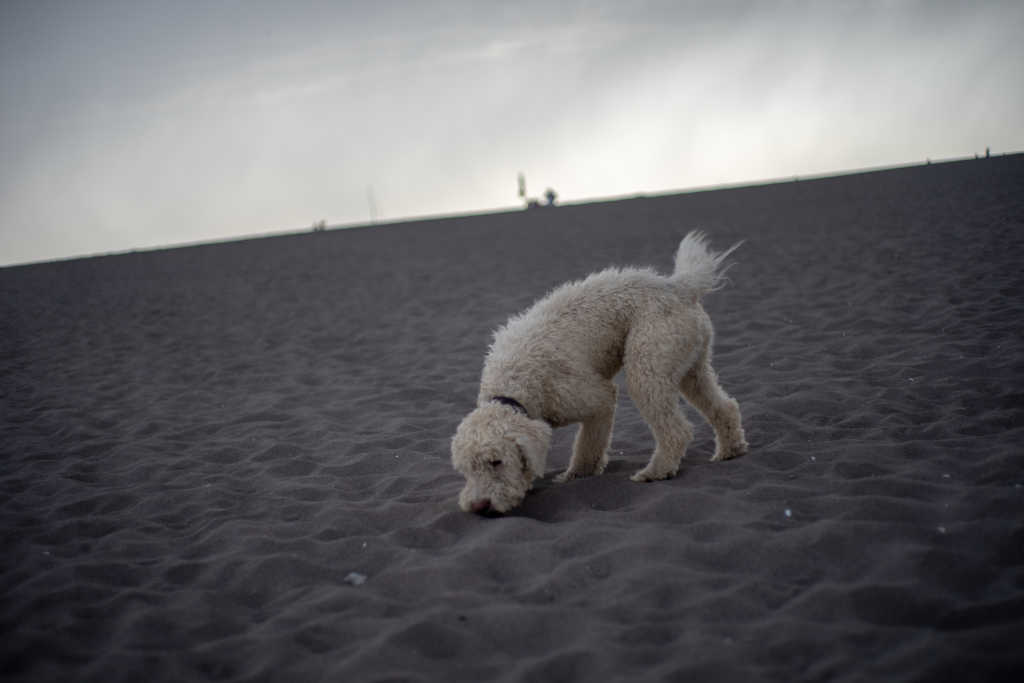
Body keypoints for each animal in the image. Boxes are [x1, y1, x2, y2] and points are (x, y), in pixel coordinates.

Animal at [452, 232, 749, 516]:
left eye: (496, 461)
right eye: (465, 470)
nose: (479, 507)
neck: (515, 386)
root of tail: (678, 286)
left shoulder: (594, 399)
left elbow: (588, 445)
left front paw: (576, 475)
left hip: (648, 363)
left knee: (677, 429)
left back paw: (656, 471)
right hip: (691, 364)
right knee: (724, 407)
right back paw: (730, 450)